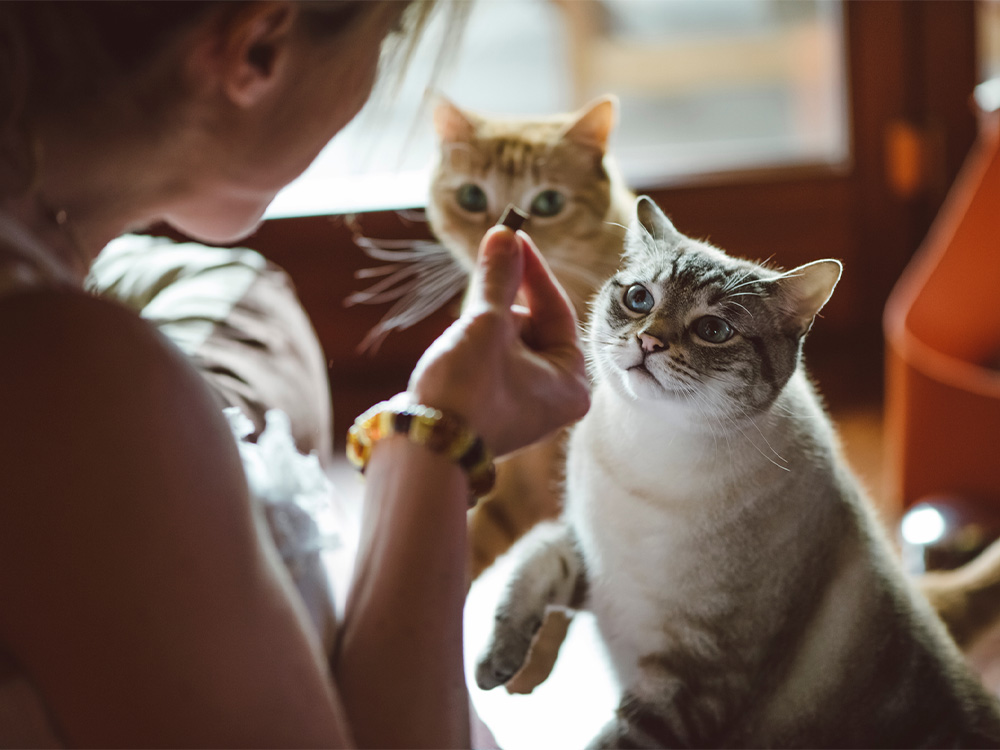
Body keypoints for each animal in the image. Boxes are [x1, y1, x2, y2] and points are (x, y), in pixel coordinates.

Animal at [472, 197, 1000, 748]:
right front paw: (494, 666)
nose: (648, 341)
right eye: (639, 299)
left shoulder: (689, 685)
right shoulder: (594, 563)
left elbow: (608, 741)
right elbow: (532, 567)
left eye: (713, 330)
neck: (651, 447)